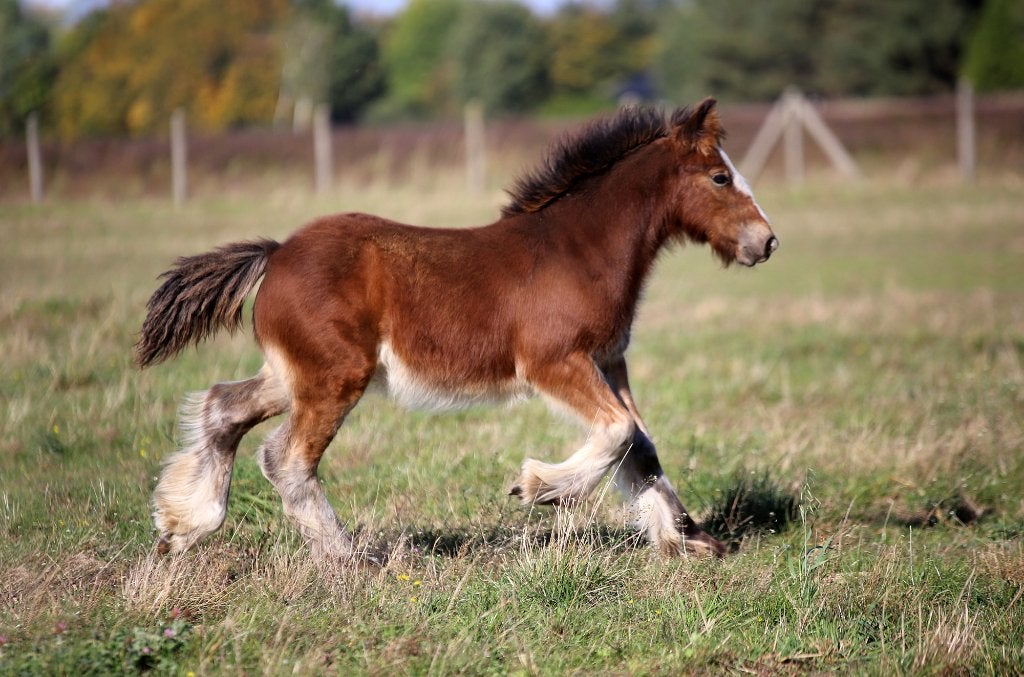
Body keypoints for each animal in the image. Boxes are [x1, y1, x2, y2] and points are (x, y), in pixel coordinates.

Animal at [136, 98, 778, 562]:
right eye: (720, 178)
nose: (766, 242)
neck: (578, 250)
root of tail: (274, 255)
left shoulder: (608, 360)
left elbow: (640, 444)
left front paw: (688, 538)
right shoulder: (554, 360)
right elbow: (619, 433)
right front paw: (539, 487)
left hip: (294, 373)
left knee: (223, 408)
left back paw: (182, 527)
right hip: (334, 376)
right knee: (286, 457)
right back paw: (346, 558)